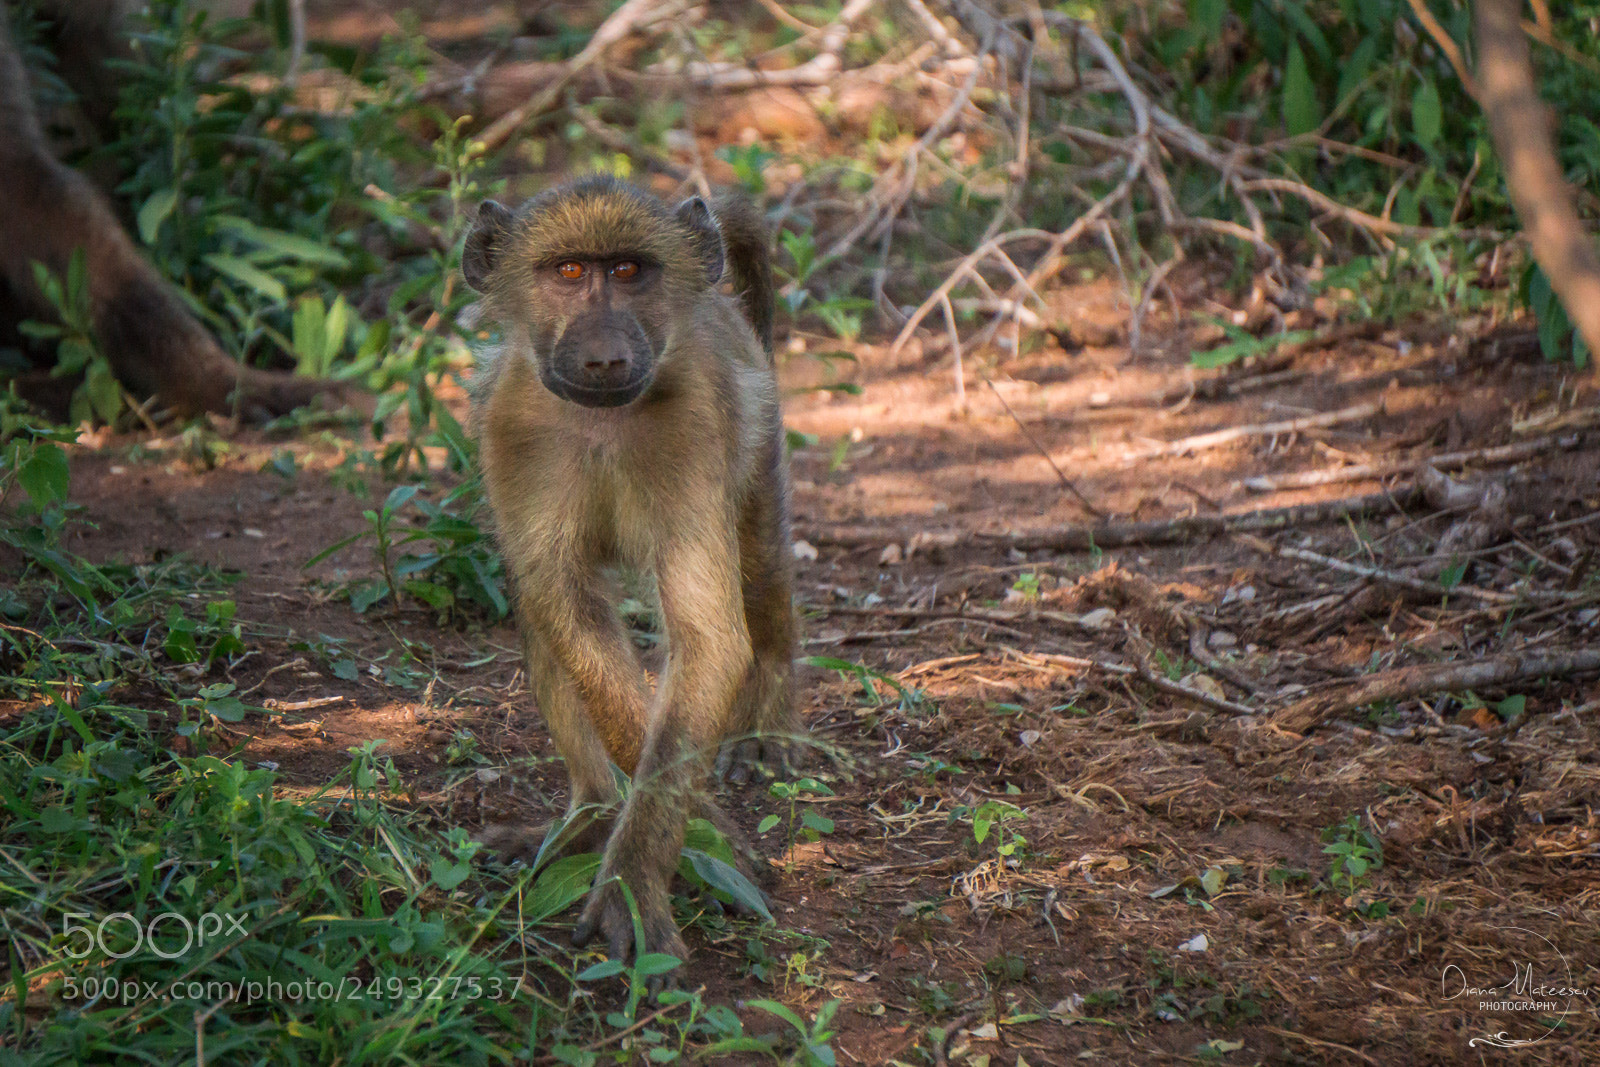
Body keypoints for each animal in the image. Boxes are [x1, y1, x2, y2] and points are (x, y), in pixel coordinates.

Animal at [463, 175, 798, 970]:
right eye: (568, 271)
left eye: (627, 271)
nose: (604, 360)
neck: (603, 422)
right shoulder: (511, 430)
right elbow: (566, 604)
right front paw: (701, 831)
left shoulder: (696, 430)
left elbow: (709, 639)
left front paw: (635, 877)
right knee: (540, 604)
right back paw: (590, 813)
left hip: (759, 435)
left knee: (760, 569)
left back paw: (765, 717)